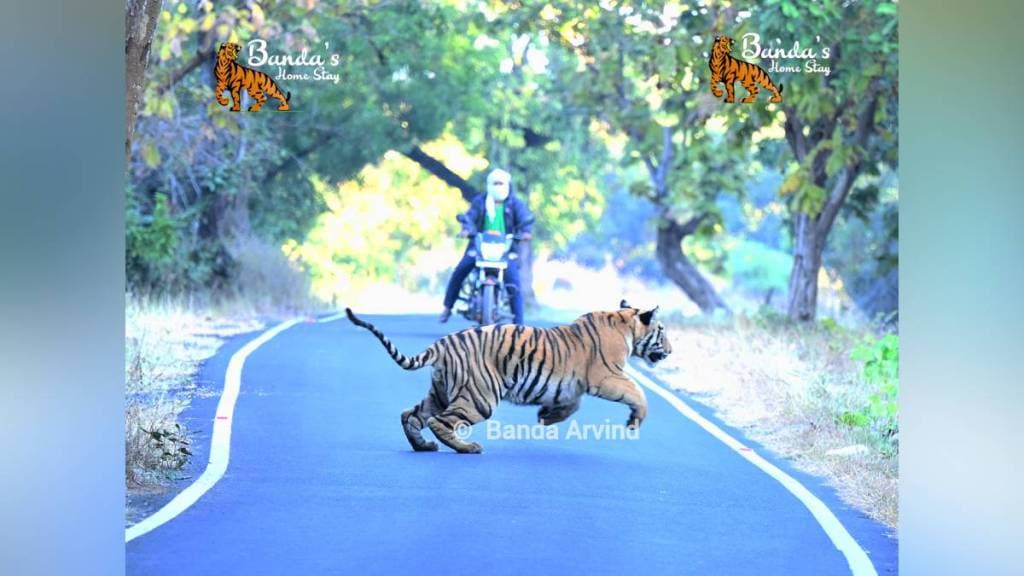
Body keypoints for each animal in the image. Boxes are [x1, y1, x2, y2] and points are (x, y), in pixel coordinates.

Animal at [344, 301, 671, 453]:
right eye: (662, 331)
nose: (670, 350)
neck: (627, 324)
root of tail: (443, 343)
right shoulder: (606, 376)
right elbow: (638, 392)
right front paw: (634, 421)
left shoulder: (571, 386)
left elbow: (571, 405)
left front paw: (546, 417)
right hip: (480, 397)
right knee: (440, 421)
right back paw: (467, 448)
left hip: (440, 392)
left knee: (410, 414)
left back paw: (423, 446)